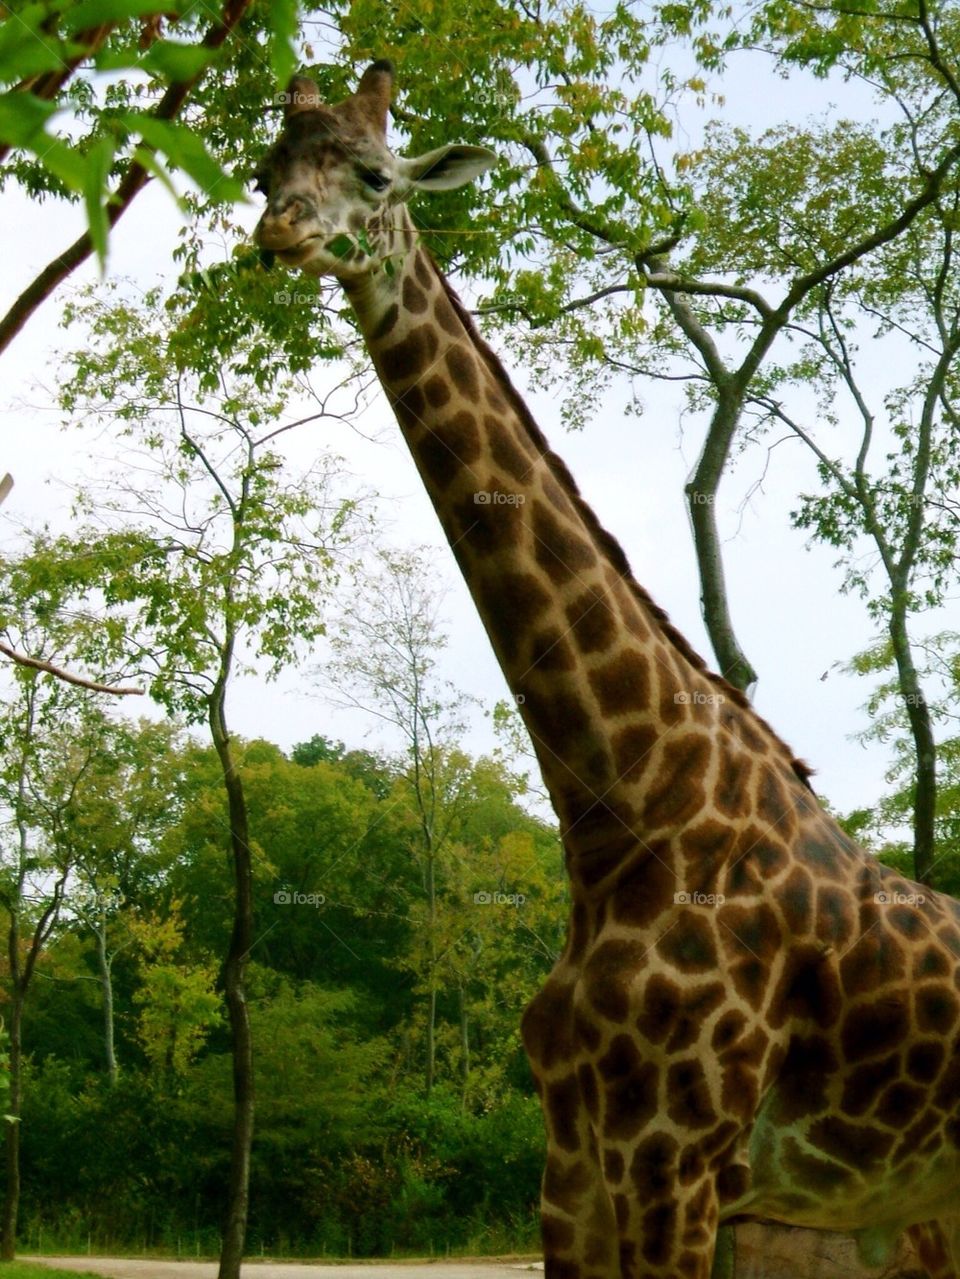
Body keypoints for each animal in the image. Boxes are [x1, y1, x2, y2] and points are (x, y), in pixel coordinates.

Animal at [254, 62, 960, 1279]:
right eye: (264, 169)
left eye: (375, 174)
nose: (279, 231)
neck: (622, 811)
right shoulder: (575, 1159)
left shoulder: (675, 1160)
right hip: (923, 1197)